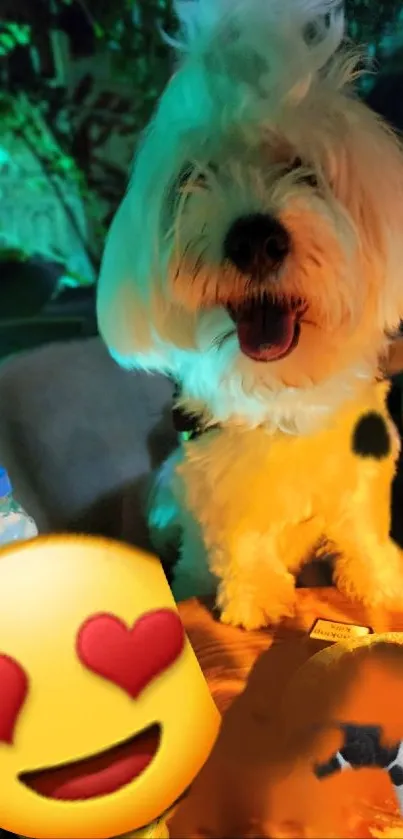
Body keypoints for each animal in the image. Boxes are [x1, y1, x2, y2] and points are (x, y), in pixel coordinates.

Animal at [97, 0, 403, 632]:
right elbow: (240, 541)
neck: (281, 395)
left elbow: (363, 525)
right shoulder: (219, 481)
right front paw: (257, 599)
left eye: (305, 169)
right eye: (194, 176)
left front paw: (380, 580)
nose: (255, 239)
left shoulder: (363, 464)